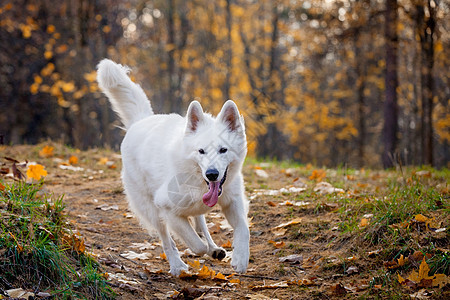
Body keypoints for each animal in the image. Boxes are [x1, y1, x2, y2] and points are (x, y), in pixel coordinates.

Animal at [96, 59, 250, 276]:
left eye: (223, 150)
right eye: (201, 151)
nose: (212, 174)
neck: (197, 180)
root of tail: (141, 120)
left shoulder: (232, 201)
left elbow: (243, 229)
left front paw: (240, 258)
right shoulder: (167, 209)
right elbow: (194, 243)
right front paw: (200, 250)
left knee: (200, 220)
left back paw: (213, 247)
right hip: (151, 210)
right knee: (167, 240)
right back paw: (177, 265)